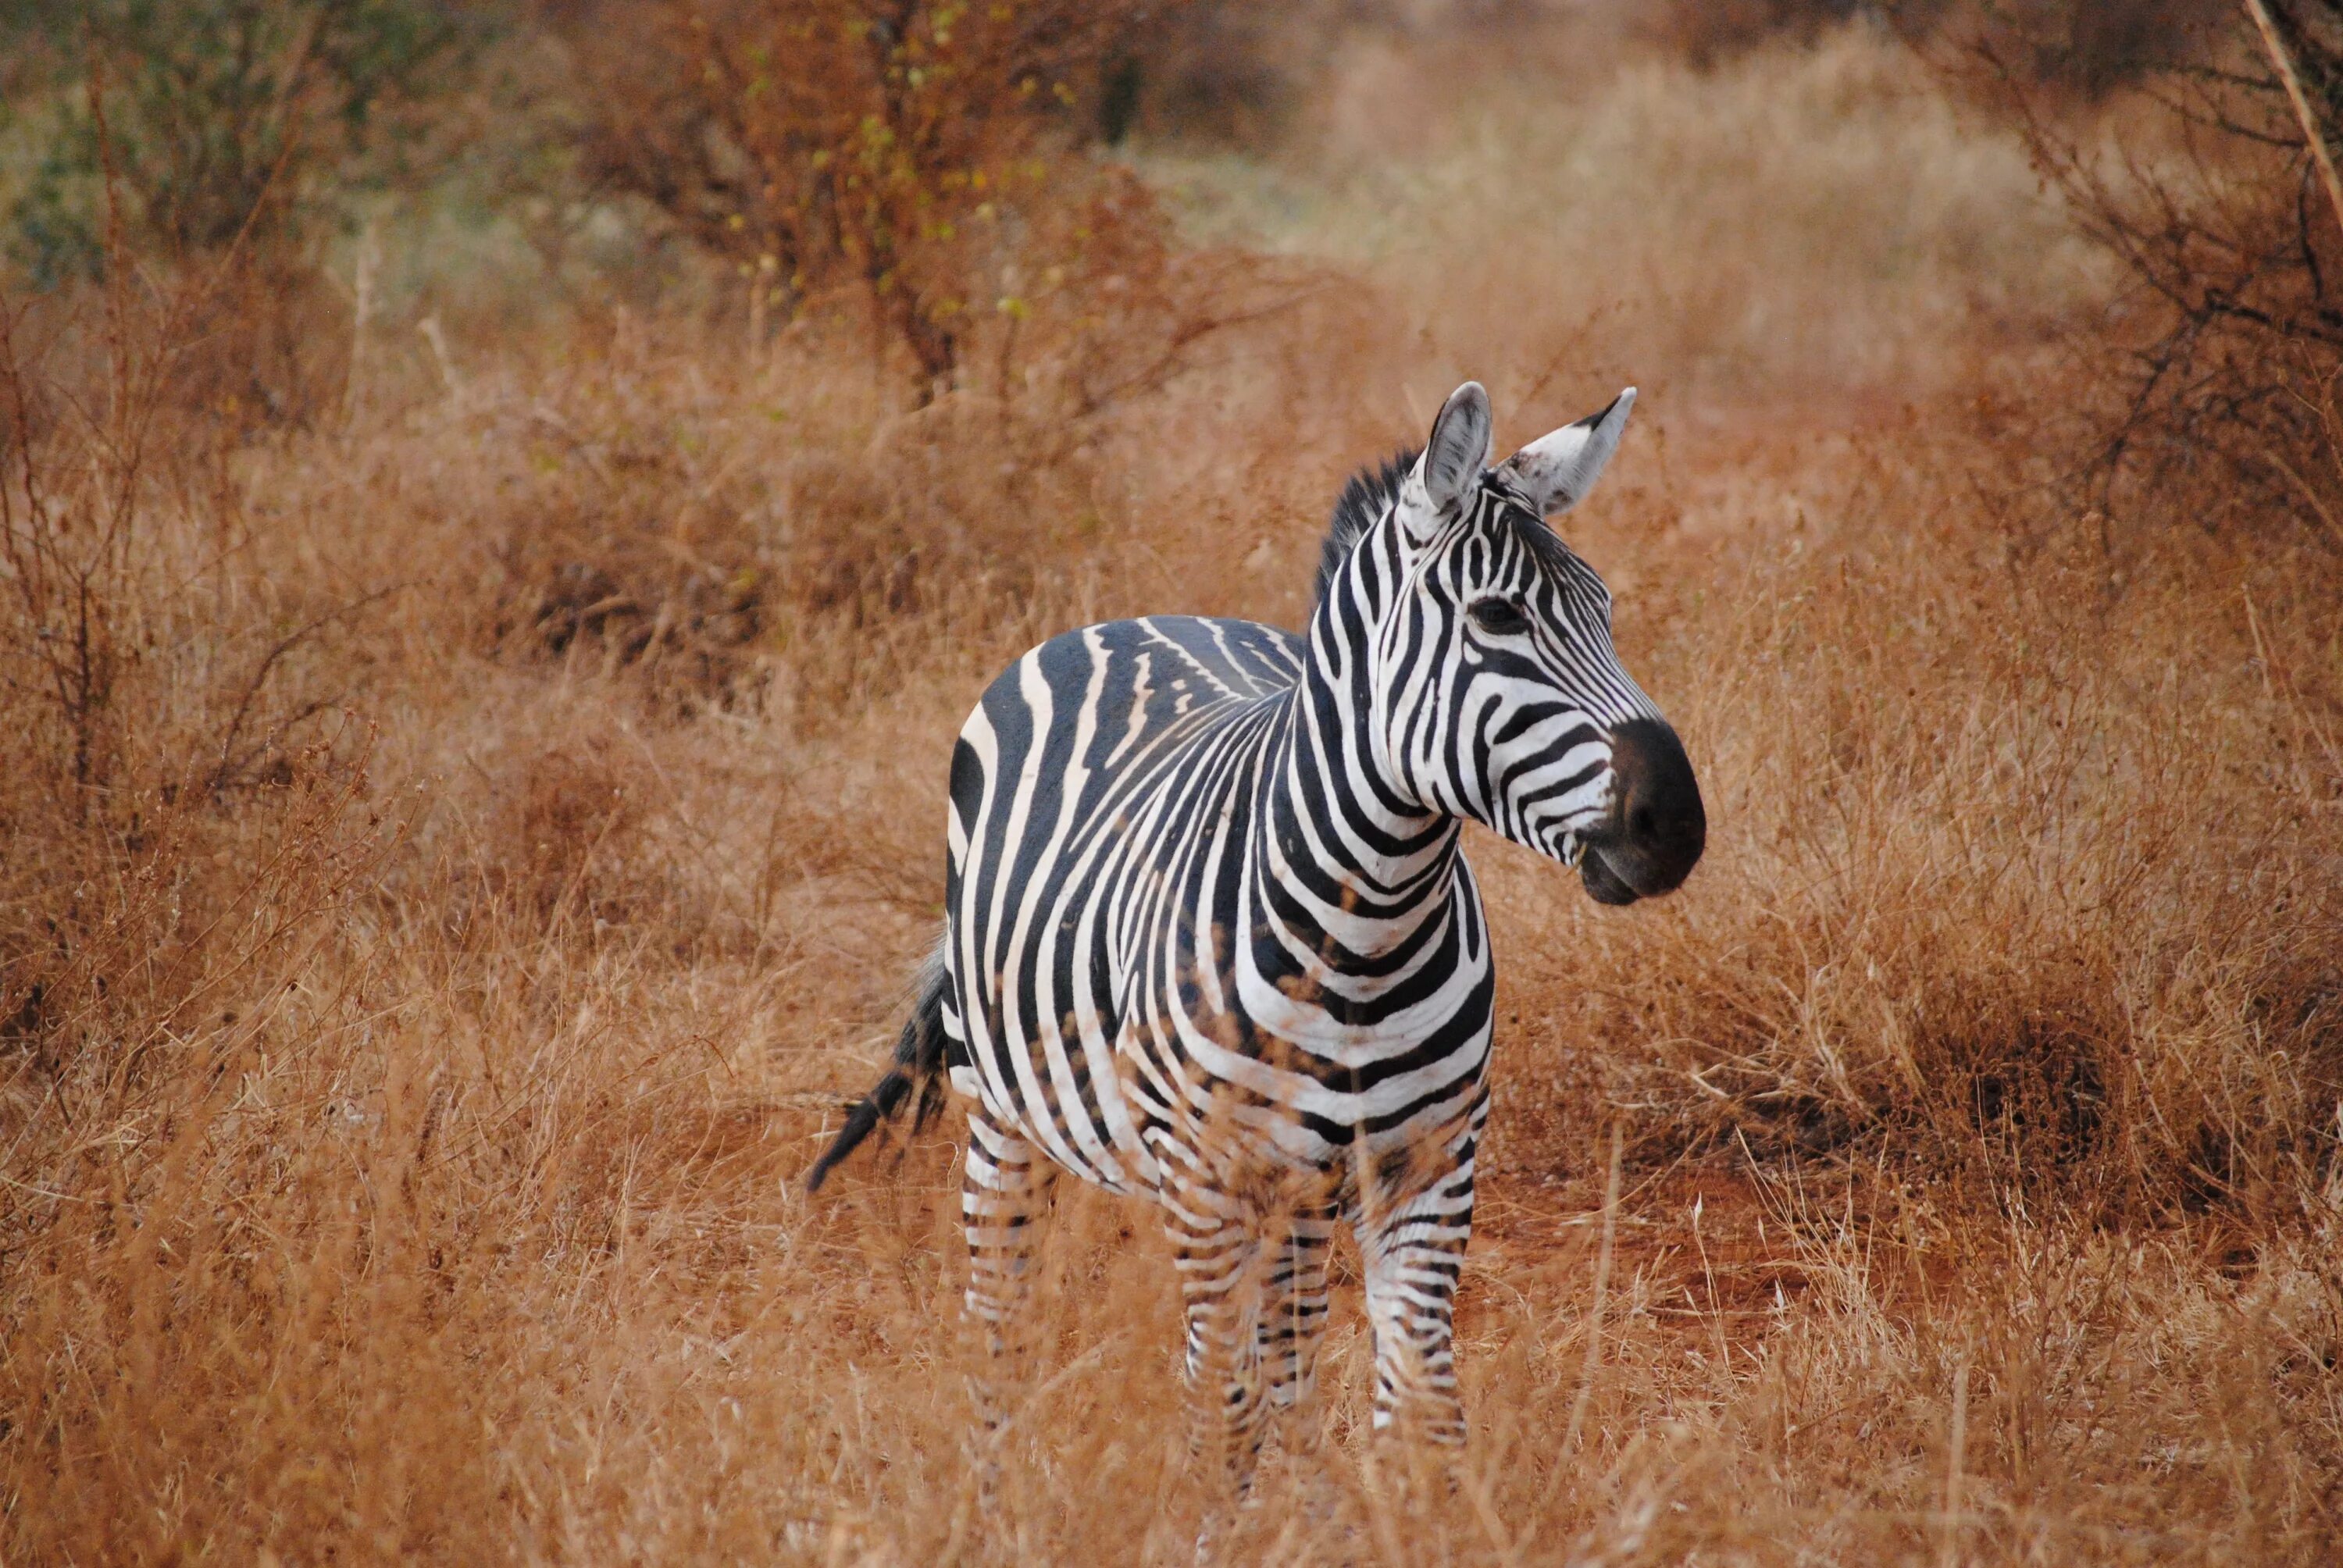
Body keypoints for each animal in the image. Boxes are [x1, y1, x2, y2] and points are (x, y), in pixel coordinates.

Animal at [811, 380, 1706, 1499]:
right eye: (1498, 616)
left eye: (1606, 613)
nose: (1677, 823)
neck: (1368, 932)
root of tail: (1139, 617)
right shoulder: (1207, 1184)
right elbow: (1220, 1409)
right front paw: (1217, 1521)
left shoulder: (1430, 1167)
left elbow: (1420, 1407)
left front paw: (1393, 1516)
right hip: (1007, 1114)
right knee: (1003, 1314)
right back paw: (994, 1489)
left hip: (1301, 1188)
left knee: (1291, 1350)